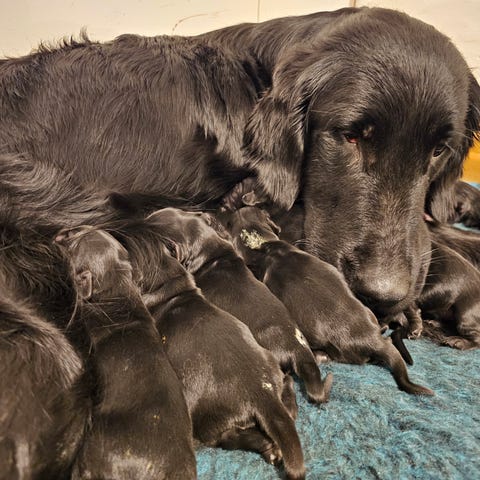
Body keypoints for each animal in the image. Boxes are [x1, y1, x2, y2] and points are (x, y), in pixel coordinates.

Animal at [108, 217, 306, 480]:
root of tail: (260, 392)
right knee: (287, 382)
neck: (171, 287)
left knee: (225, 436)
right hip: (270, 365)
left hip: (205, 413)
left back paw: (268, 447)